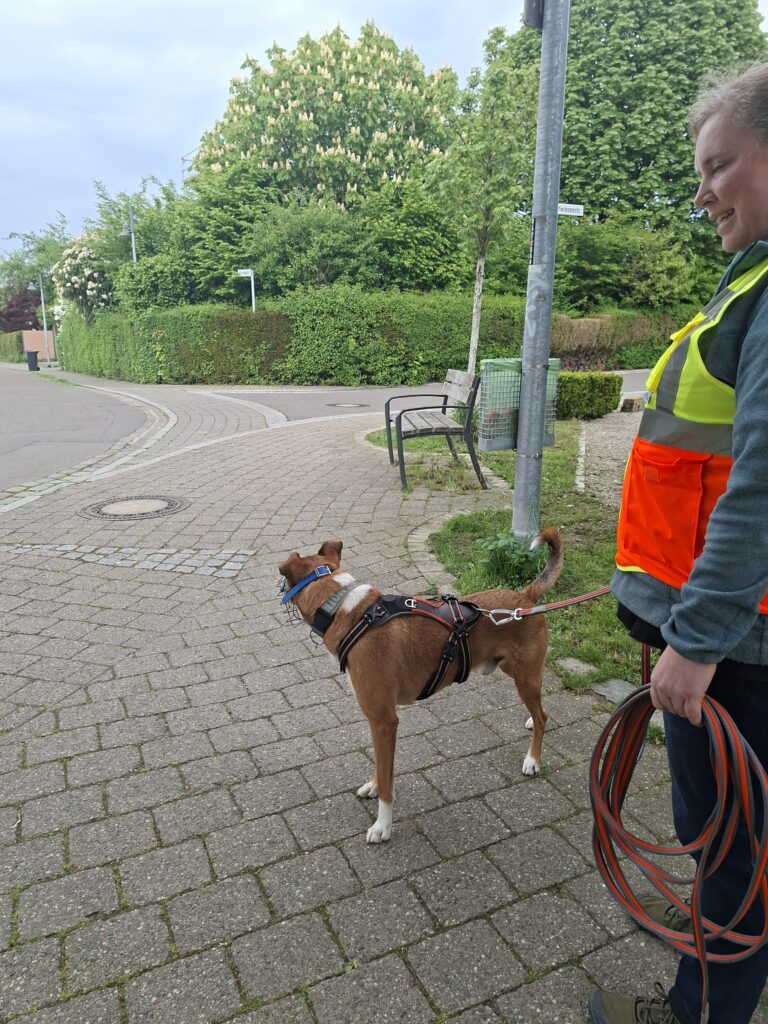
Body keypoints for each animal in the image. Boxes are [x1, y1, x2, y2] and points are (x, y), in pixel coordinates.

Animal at [278, 527, 563, 843]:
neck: (344, 609)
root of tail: (525, 596)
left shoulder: (384, 721)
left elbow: (387, 783)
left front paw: (383, 826)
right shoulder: (379, 724)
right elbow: (381, 767)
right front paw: (374, 785)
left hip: (524, 676)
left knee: (543, 716)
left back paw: (533, 759)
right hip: (515, 671)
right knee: (539, 709)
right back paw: (530, 722)